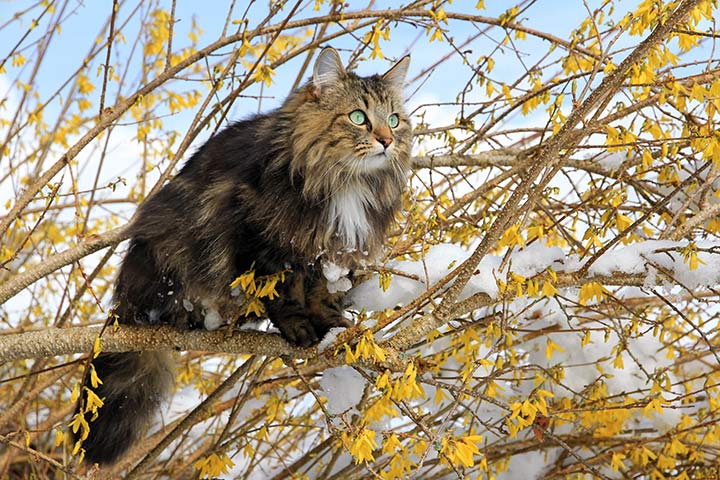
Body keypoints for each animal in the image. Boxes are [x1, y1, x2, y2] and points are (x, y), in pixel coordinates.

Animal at [72, 48, 410, 464]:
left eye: (394, 119)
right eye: (358, 117)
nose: (386, 140)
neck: (346, 183)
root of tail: (124, 299)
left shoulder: (330, 252)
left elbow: (321, 294)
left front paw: (331, 326)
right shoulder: (262, 236)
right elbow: (284, 291)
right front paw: (298, 326)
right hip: (167, 255)